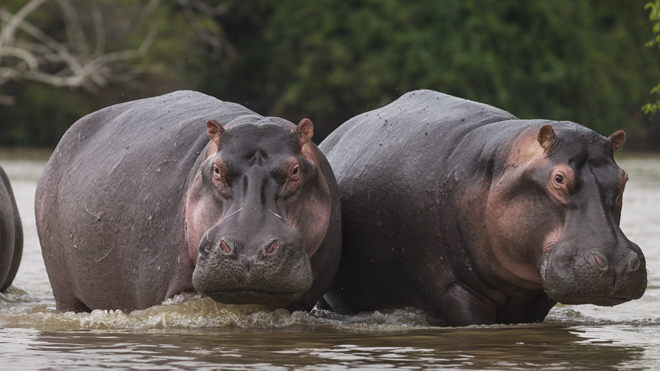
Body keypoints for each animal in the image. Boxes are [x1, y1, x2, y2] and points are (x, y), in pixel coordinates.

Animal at [318, 89, 648, 326]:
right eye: (558, 178)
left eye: (623, 178)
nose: (617, 263)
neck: (497, 167)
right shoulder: (457, 288)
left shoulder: (538, 296)